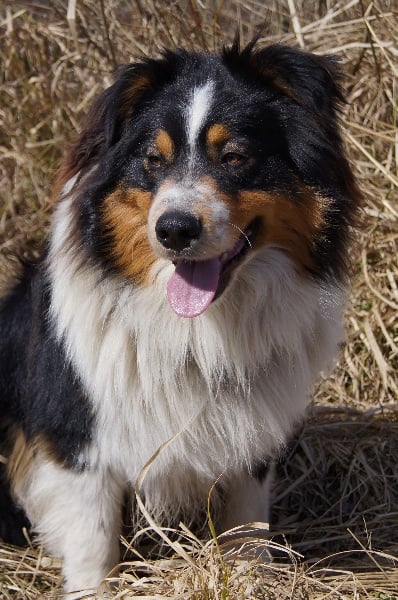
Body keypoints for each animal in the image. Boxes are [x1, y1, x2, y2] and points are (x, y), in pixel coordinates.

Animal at [0, 38, 360, 596]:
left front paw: (248, 575)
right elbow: (92, 538)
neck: (198, 332)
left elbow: (247, 520)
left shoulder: (251, 428)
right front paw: (93, 588)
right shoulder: (74, 431)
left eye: (235, 157)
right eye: (153, 160)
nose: (173, 230)